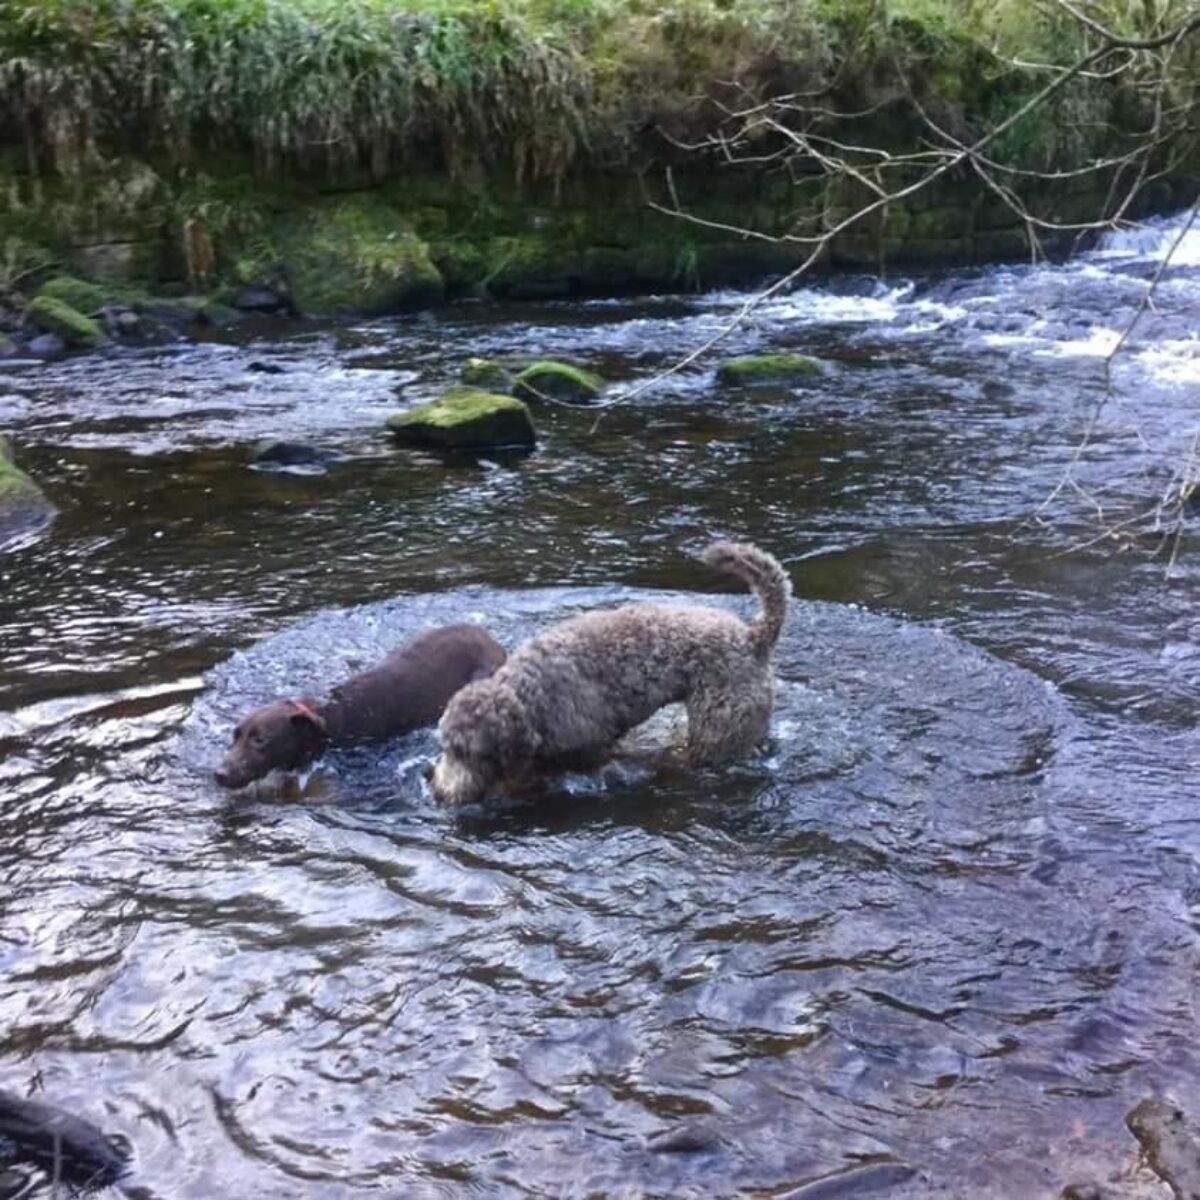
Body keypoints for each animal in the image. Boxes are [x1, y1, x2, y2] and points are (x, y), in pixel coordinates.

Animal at [429, 542, 787, 806]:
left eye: (469, 752)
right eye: (447, 746)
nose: (440, 792)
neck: (530, 695)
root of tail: (754, 637)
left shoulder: (587, 747)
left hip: (718, 728)